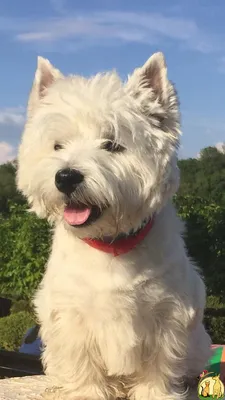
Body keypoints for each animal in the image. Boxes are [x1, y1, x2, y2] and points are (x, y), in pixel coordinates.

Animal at [16, 53, 212, 400]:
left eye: (112, 144)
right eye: (57, 146)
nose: (66, 177)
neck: (110, 243)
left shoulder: (167, 314)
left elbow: (158, 365)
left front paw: (155, 394)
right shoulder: (72, 315)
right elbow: (82, 363)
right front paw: (86, 393)